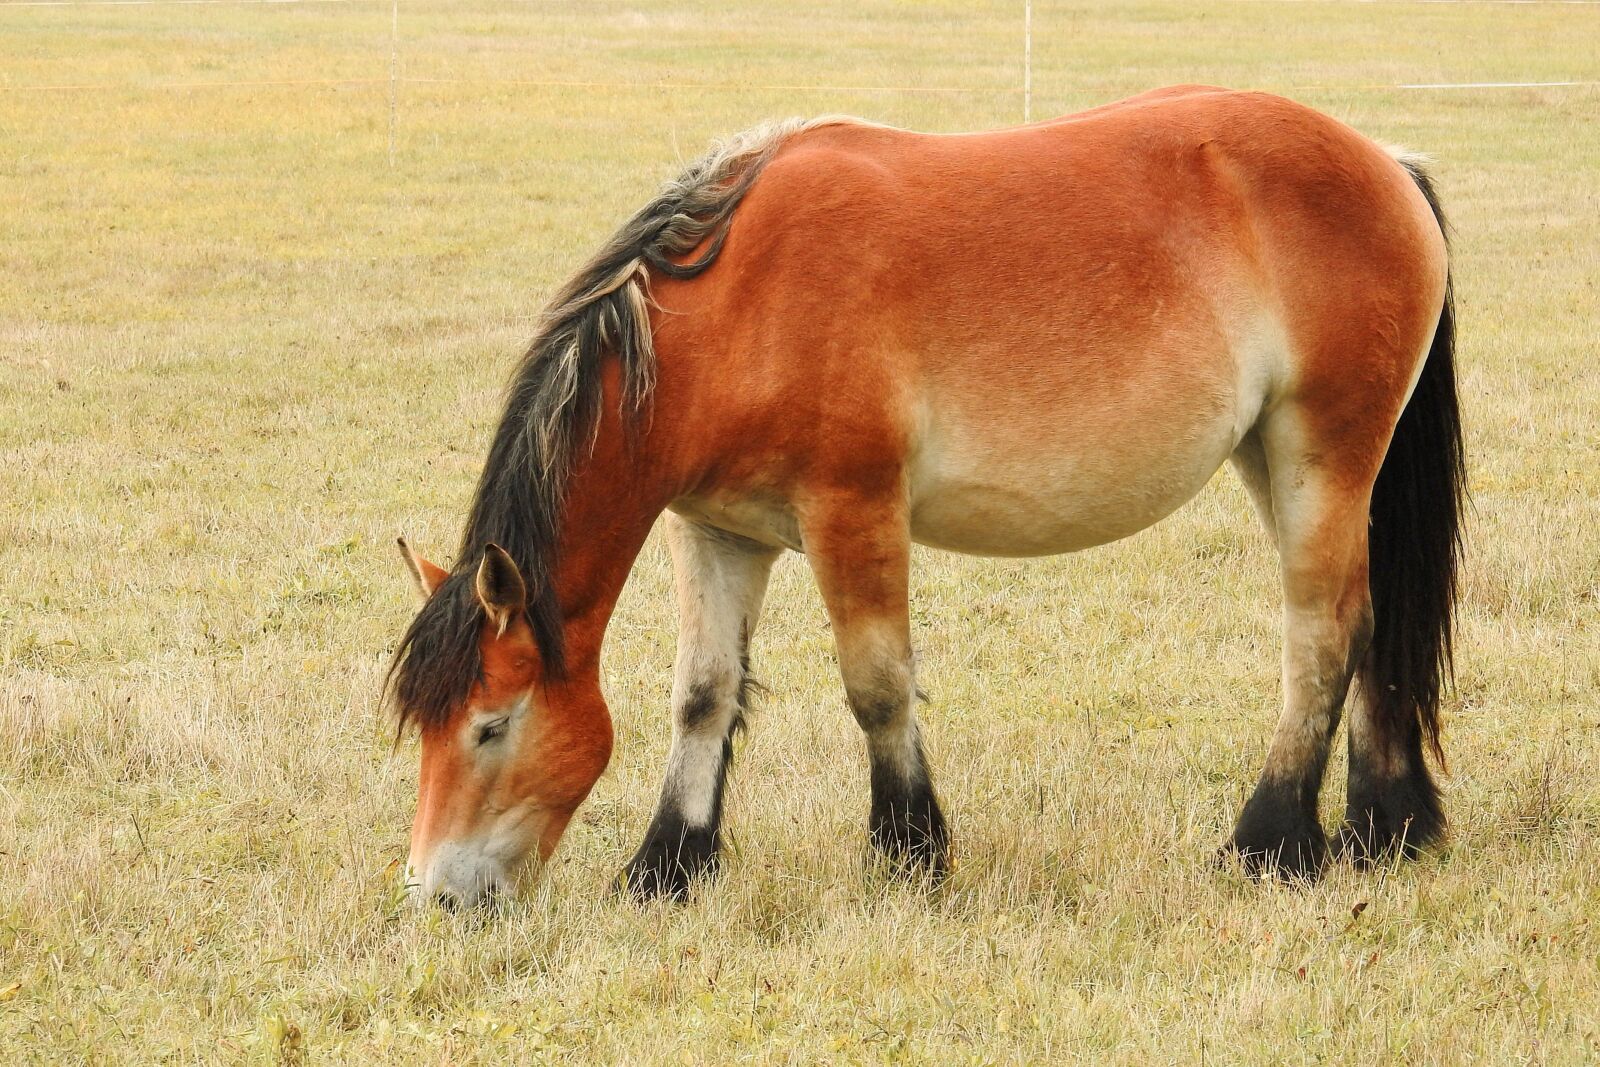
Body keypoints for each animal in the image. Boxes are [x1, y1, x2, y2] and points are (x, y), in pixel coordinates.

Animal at [388, 85, 1464, 907]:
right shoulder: (715, 530)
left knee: (1321, 635)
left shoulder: (851, 511)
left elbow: (876, 686)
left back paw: (1269, 840)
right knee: (1368, 624)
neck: (737, 304)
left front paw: (908, 852)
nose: (438, 894)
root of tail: (1381, 158)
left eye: (491, 724)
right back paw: (1383, 828)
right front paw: (667, 866)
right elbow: (702, 693)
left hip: (1321, 457)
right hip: (1280, 461)